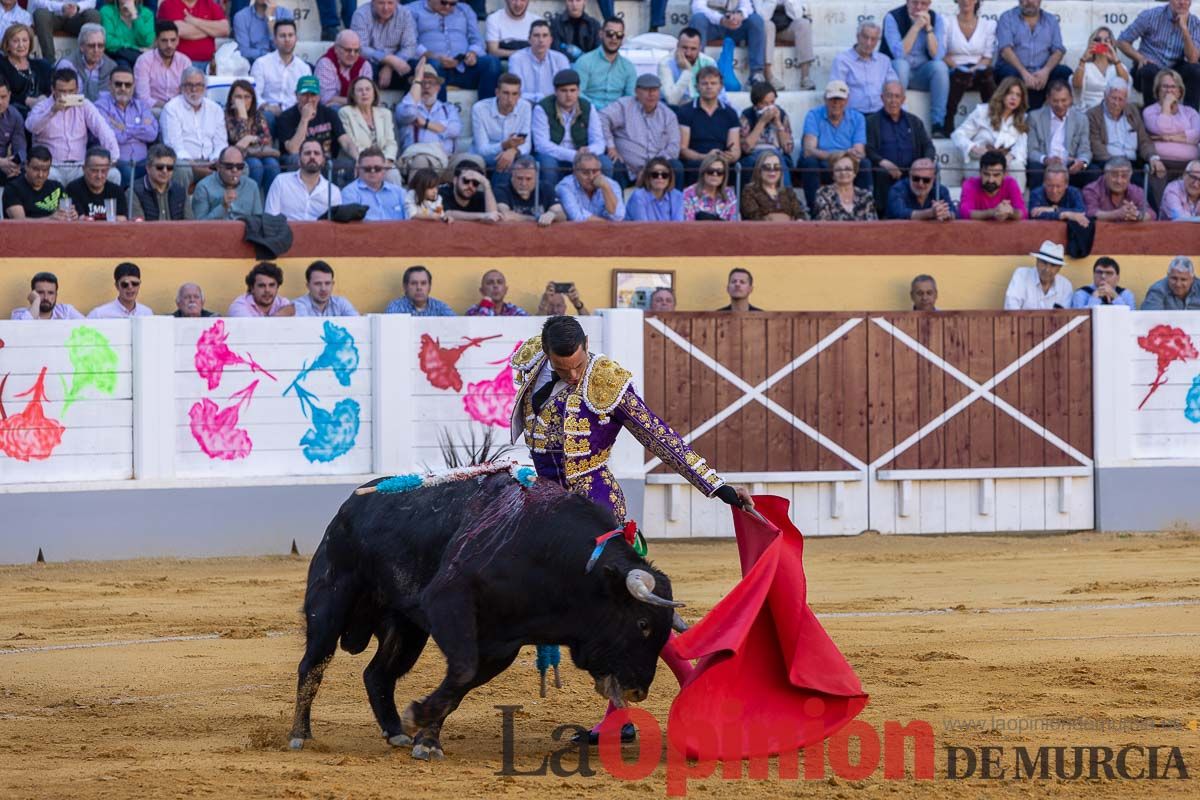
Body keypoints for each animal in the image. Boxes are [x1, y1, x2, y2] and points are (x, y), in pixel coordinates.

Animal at [288, 472, 686, 762]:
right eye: (642, 624)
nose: (638, 690)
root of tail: (351, 504)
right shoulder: (448, 600)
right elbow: (462, 669)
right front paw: (420, 718)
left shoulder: (500, 646)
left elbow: (458, 687)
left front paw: (426, 739)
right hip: (329, 602)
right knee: (312, 665)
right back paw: (300, 735)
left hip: (406, 628)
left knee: (377, 674)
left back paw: (395, 730)